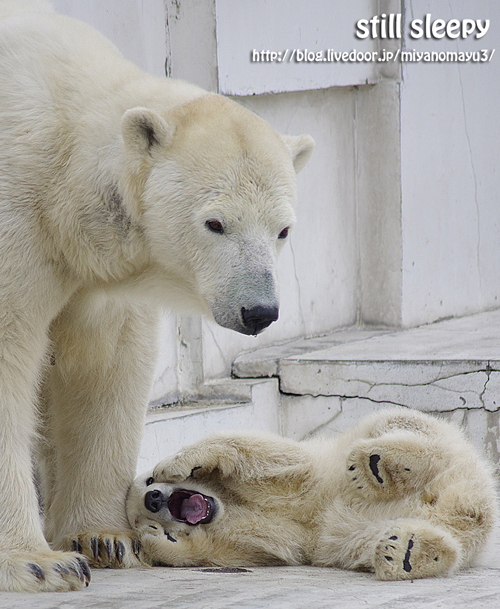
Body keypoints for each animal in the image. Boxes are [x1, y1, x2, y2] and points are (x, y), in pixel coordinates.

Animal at [0, 0, 312, 588]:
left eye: (283, 230)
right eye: (215, 223)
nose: (259, 310)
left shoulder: (92, 269)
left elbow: (104, 363)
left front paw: (100, 537)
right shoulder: (17, 221)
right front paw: (38, 562)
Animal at [117, 408, 496, 580]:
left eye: (150, 479)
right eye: (137, 515)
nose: (153, 499)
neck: (228, 503)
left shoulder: (298, 479)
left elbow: (274, 458)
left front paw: (183, 461)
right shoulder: (272, 530)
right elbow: (250, 547)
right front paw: (156, 537)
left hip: (442, 450)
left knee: (401, 424)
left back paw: (374, 466)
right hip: (354, 535)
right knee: (370, 541)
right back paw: (407, 551)